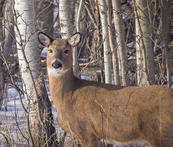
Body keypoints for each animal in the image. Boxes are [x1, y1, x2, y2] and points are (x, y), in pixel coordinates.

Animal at [37, 32, 173, 147]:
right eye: (50, 50)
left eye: (66, 50)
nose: (56, 64)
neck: (68, 96)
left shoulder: (86, 131)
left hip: (159, 133)